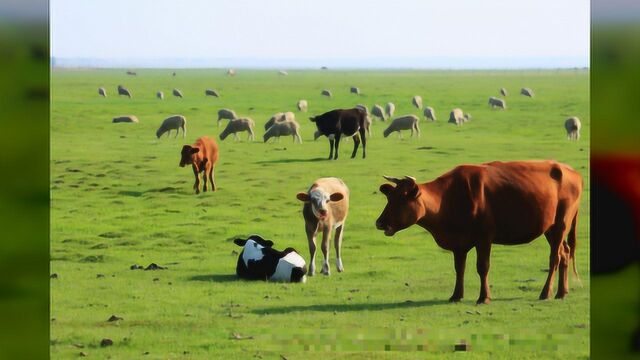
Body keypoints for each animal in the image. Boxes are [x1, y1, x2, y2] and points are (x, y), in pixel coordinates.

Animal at [372, 160, 584, 304]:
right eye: (389, 198)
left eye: (401, 200)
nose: (379, 223)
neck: (448, 198)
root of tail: (571, 172)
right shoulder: (459, 242)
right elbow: (459, 268)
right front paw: (456, 295)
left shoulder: (484, 238)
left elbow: (482, 267)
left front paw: (484, 297)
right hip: (549, 228)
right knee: (564, 253)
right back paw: (561, 292)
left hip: (560, 224)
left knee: (554, 258)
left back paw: (546, 293)